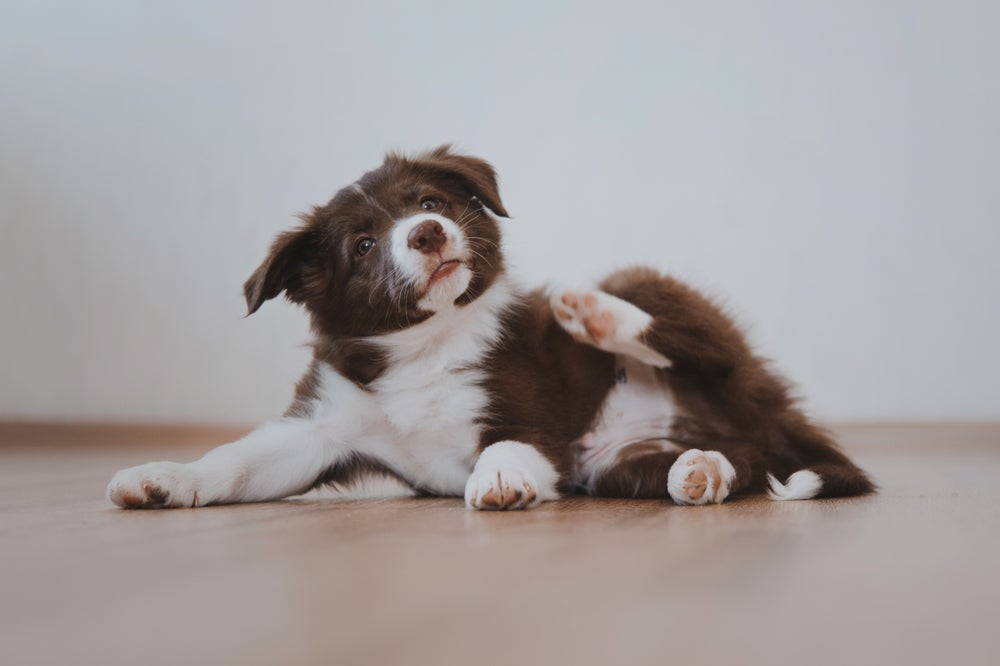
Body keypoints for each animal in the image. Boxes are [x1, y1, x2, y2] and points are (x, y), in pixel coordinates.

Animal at [107, 144, 876, 508]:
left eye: (430, 201)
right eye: (363, 245)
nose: (427, 233)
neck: (426, 344)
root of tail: (768, 412)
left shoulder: (528, 411)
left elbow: (507, 442)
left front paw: (501, 477)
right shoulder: (319, 426)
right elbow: (238, 459)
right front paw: (163, 478)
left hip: (665, 306)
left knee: (697, 346)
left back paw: (593, 313)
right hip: (619, 468)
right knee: (740, 463)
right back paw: (701, 470)